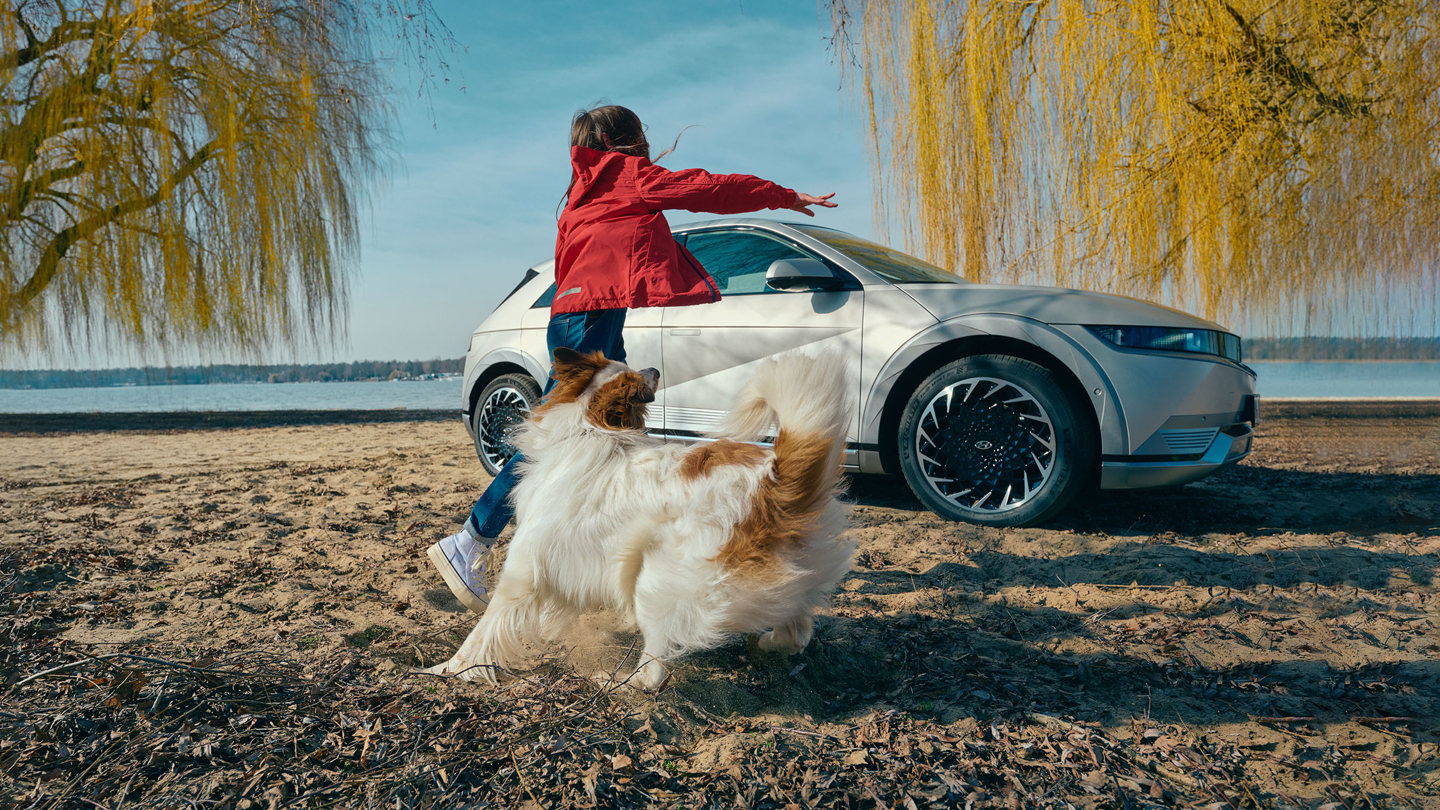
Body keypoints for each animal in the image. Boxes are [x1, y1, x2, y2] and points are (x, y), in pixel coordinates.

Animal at [423, 347, 852, 686]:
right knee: (797, 631)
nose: (656, 369)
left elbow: (482, 633)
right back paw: (767, 643)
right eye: (625, 366)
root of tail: (775, 481)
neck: (587, 428)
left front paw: (449, 670)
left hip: (657, 581)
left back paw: (616, 682)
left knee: (653, 672)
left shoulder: (522, 571)